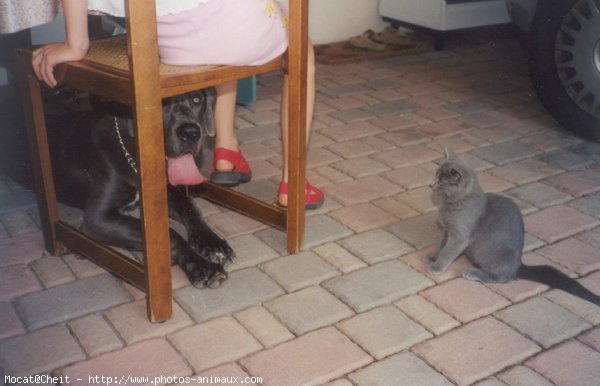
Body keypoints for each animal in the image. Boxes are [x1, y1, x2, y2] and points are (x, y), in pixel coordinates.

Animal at [47, 89, 233, 288]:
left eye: (197, 99)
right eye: (162, 102)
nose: (190, 132)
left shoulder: (166, 193)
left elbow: (191, 209)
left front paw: (212, 242)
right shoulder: (97, 218)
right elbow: (170, 234)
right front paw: (201, 265)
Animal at [426, 148, 600, 304]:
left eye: (440, 181)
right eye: (435, 176)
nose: (430, 185)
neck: (453, 204)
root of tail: (518, 265)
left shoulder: (459, 236)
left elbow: (448, 251)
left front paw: (437, 267)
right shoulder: (447, 230)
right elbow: (442, 246)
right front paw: (433, 256)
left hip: (494, 258)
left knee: (503, 278)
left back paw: (473, 273)